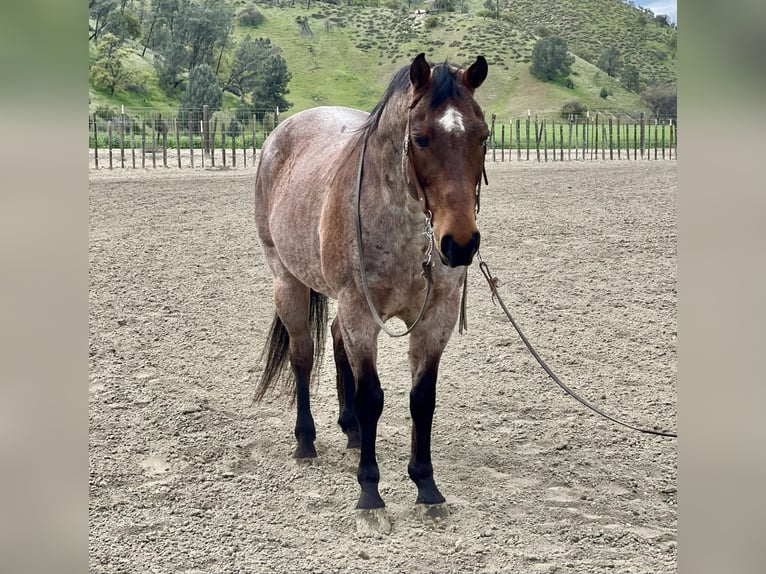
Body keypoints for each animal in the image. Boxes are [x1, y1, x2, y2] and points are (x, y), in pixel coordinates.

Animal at [255, 53, 488, 528]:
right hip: (288, 282)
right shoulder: (361, 312)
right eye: (420, 138)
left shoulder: (435, 319)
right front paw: (370, 491)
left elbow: (422, 399)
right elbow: (371, 398)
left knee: (335, 341)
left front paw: (426, 487)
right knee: (303, 356)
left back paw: (351, 431)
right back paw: (306, 441)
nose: (459, 244)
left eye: (483, 136)